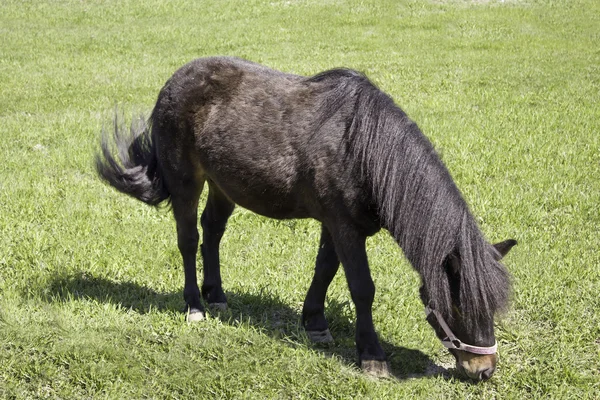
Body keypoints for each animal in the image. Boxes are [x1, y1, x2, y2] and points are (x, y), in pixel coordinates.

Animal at [97, 57, 516, 382]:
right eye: (460, 306)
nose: (483, 370)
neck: (361, 150)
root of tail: (174, 81)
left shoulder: (336, 224)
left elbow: (325, 270)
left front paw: (314, 323)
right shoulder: (345, 228)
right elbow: (362, 287)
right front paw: (372, 356)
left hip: (223, 185)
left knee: (212, 232)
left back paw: (216, 296)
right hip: (186, 181)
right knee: (187, 240)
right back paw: (195, 306)